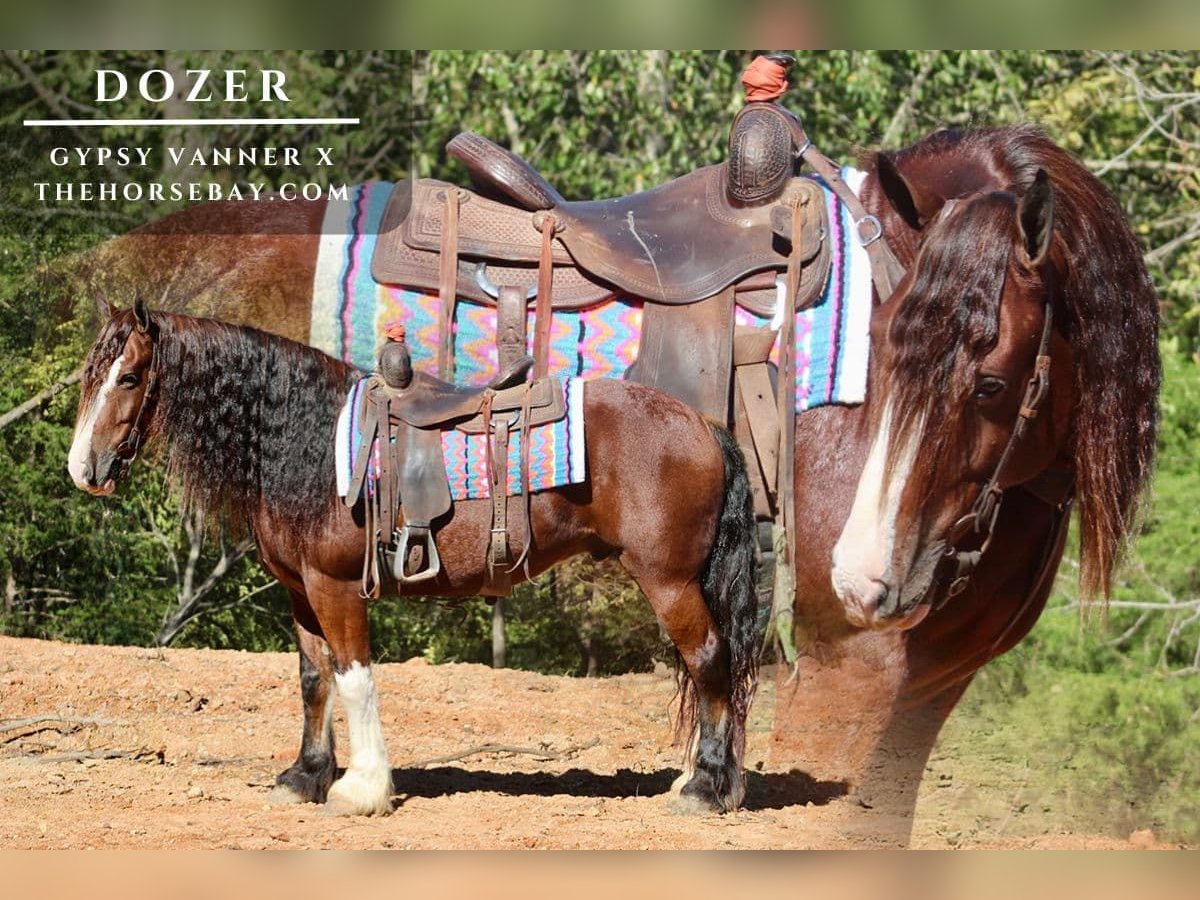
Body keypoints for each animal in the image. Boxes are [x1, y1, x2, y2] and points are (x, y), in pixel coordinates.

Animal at [66, 300, 760, 816]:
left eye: (127, 377)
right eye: (88, 376)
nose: (82, 470)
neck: (310, 441)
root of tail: (703, 424)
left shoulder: (335, 587)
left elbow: (354, 677)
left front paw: (362, 787)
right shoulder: (299, 591)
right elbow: (314, 679)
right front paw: (306, 775)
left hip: (669, 582)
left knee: (708, 659)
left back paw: (706, 787)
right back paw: (699, 778)